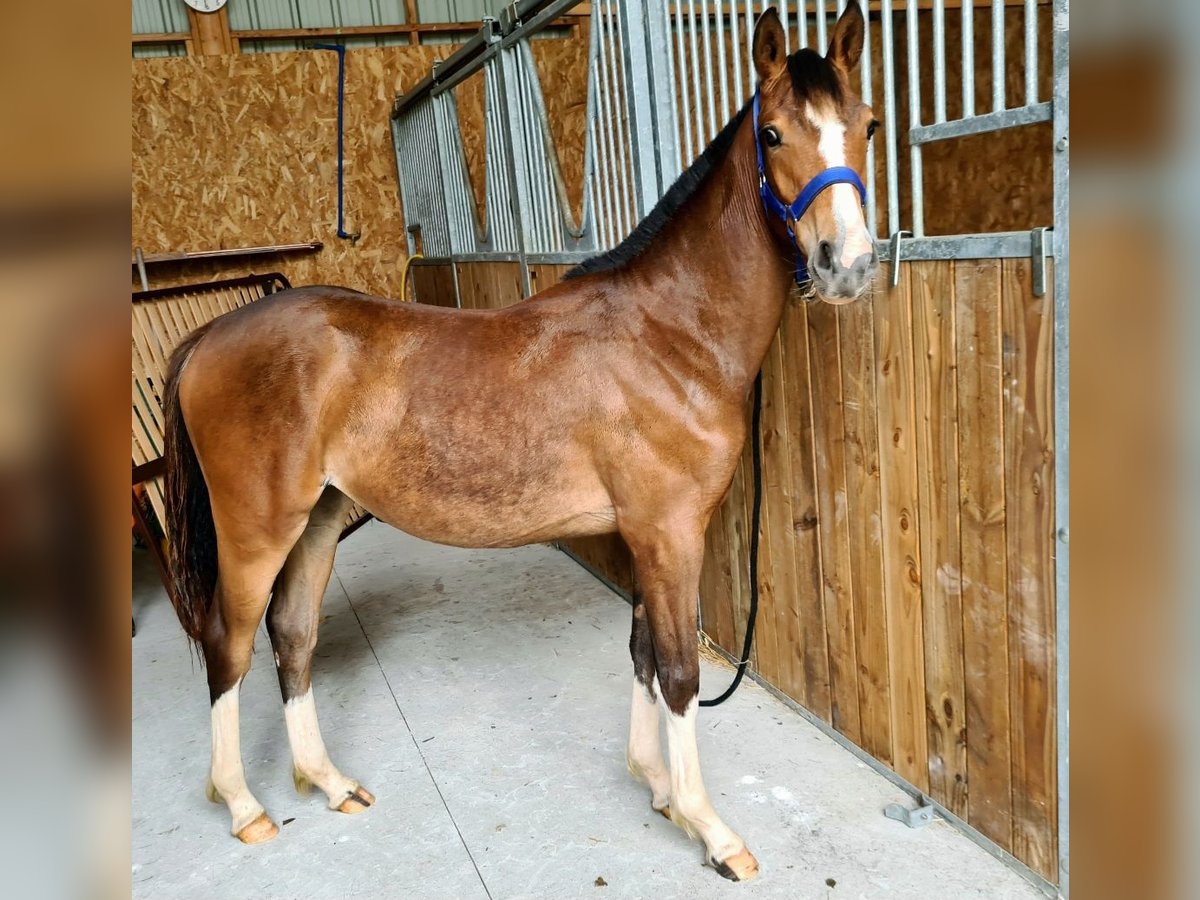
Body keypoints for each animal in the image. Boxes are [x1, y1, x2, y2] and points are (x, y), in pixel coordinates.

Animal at [162, 5, 873, 883]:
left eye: (867, 125)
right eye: (773, 134)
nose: (847, 265)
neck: (668, 333)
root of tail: (209, 335)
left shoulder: (644, 533)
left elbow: (641, 651)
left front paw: (657, 790)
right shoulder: (669, 531)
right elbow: (676, 672)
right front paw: (709, 829)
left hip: (320, 521)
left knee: (292, 638)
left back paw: (327, 783)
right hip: (256, 530)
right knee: (228, 647)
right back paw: (244, 807)